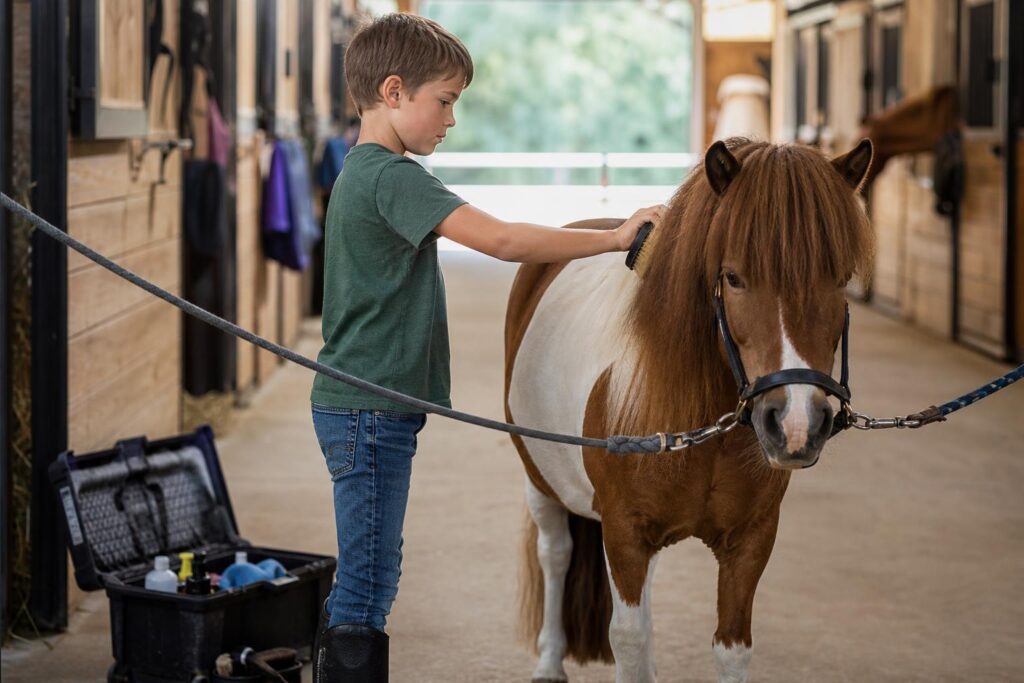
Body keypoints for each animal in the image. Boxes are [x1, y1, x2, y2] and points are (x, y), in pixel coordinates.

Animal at [504, 137, 875, 683]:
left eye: (840, 279)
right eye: (733, 277)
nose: (795, 425)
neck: (702, 427)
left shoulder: (750, 539)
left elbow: (731, 647)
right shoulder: (625, 532)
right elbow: (629, 639)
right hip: (538, 479)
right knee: (555, 554)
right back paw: (550, 661)